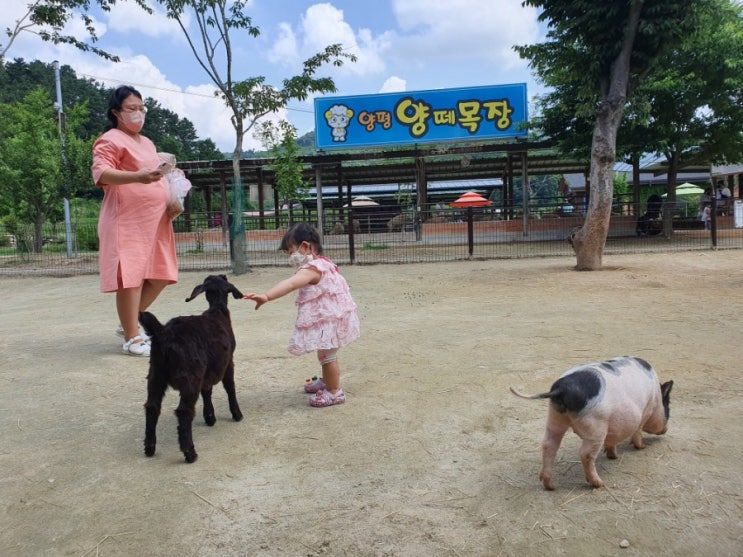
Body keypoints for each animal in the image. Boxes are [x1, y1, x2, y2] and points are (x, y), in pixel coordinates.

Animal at [140, 274, 244, 460]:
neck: (217, 311)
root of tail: (164, 334)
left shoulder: (208, 371)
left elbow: (207, 391)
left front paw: (210, 417)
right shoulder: (228, 362)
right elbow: (230, 387)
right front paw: (237, 414)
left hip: (156, 374)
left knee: (152, 407)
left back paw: (150, 448)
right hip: (190, 377)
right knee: (184, 411)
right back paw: (190, 453)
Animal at [512, 358, 676, 488]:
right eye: (668, 405)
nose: (666, 429)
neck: (656, 397)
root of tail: (561, 389)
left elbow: (612, 441)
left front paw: (614, 456)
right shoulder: (645, 412)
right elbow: (637, 432)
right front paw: (643, 447)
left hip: (554, 418)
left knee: (548, 445)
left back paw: (550, 486)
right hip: (595, 428)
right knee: (586, 454)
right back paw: (599, 484)